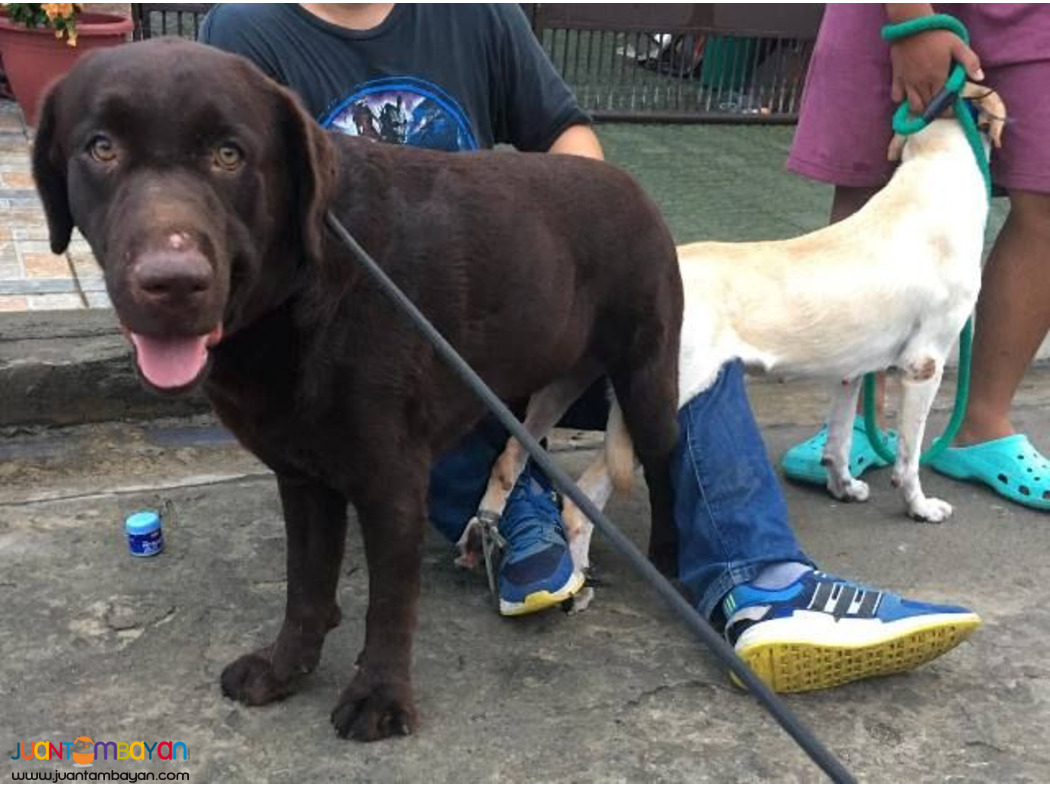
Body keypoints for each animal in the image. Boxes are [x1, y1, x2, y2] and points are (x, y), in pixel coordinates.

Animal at [464, 83, 1003, 584]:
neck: (934, 171)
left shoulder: (852, 371)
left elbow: (839, 439)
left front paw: (843, 486)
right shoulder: (925, 366)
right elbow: (910, 457)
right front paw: (920, 506)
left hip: (567, 385)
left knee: (510, 457)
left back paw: (485, 537)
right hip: (659, 402)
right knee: (582, 500)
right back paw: (574, 577)